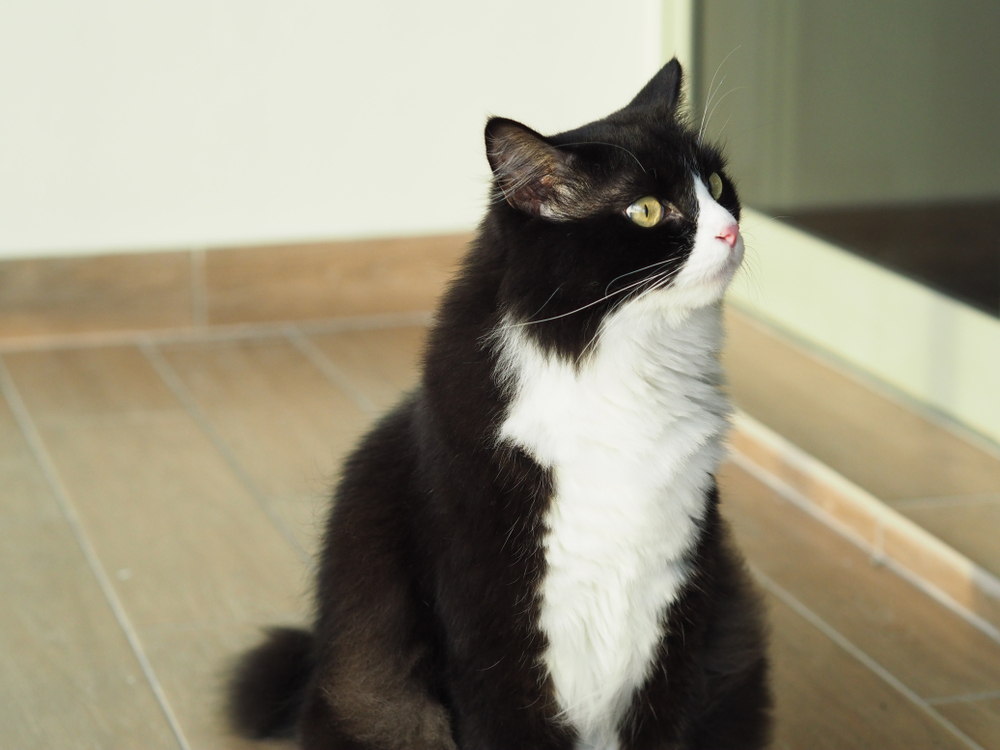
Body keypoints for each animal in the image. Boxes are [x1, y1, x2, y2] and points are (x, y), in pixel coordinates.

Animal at [229, 60, 772, 750]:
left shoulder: (678, 609)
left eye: (718, 184)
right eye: (646, 210)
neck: (624, 371)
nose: (730, 230)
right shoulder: (491, 628)